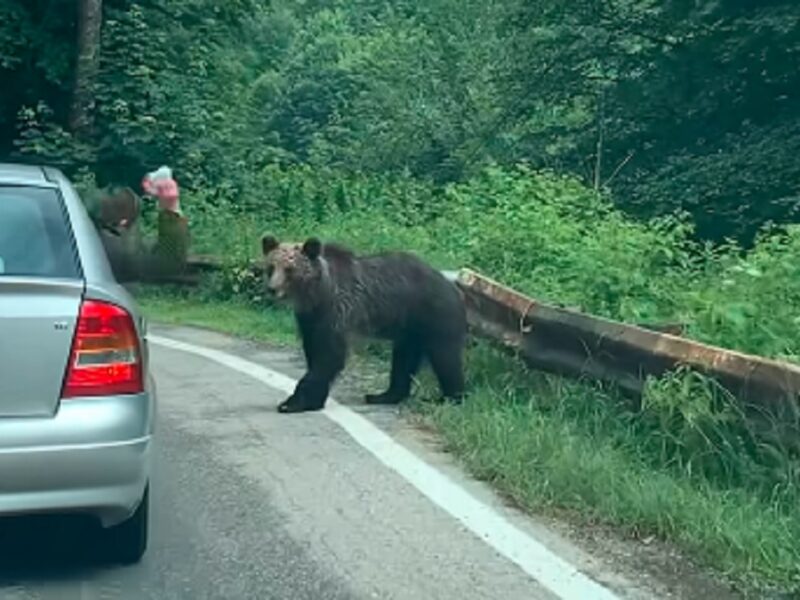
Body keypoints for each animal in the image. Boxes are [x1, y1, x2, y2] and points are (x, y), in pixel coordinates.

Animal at [262, 234, 466, 412]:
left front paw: (293, 403)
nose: (272, 288)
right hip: (410, 328)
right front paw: (312, 400)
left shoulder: (337, 311)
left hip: (434, 315)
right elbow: (313, 350)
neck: (317, 293)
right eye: (271, 266)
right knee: (404, 358)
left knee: (445, 357)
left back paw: (451, 397)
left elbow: (329, 355)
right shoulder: (310, 318)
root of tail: (451, 284)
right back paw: (383, 395)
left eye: (289, 269)